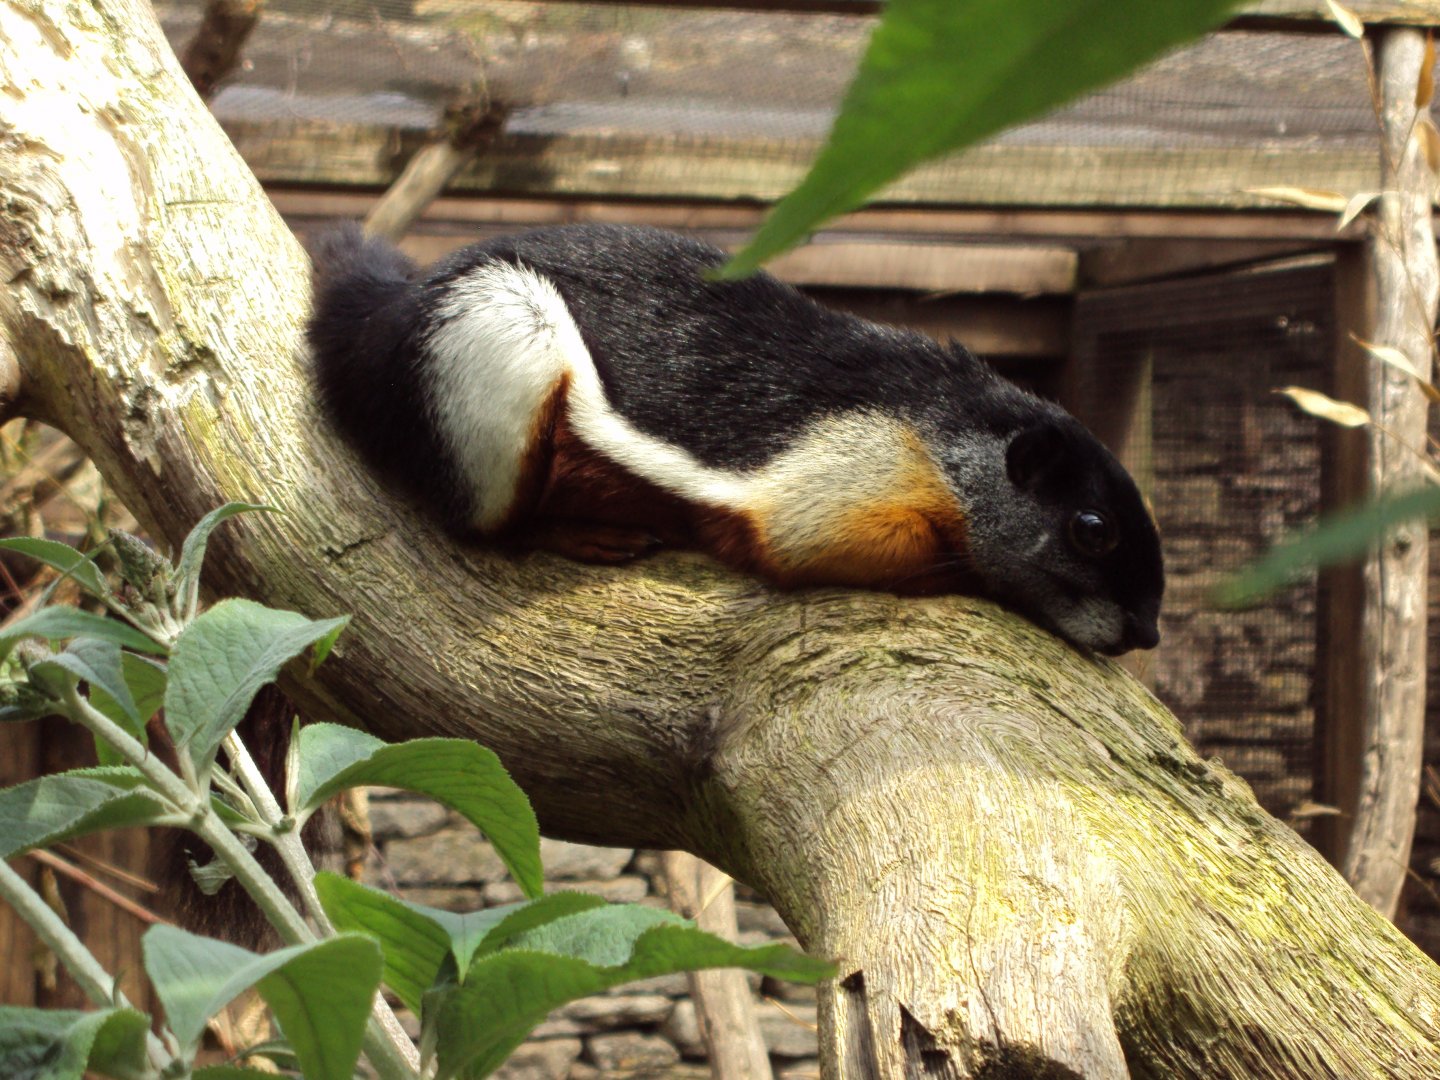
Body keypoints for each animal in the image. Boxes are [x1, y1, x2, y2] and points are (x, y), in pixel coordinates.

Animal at [307, 222, 1164, 656]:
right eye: (1092, 529)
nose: (1148, 633)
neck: (946, 431)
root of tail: (373, 327)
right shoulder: (847, 485)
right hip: (498, 349)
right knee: (486, 526)